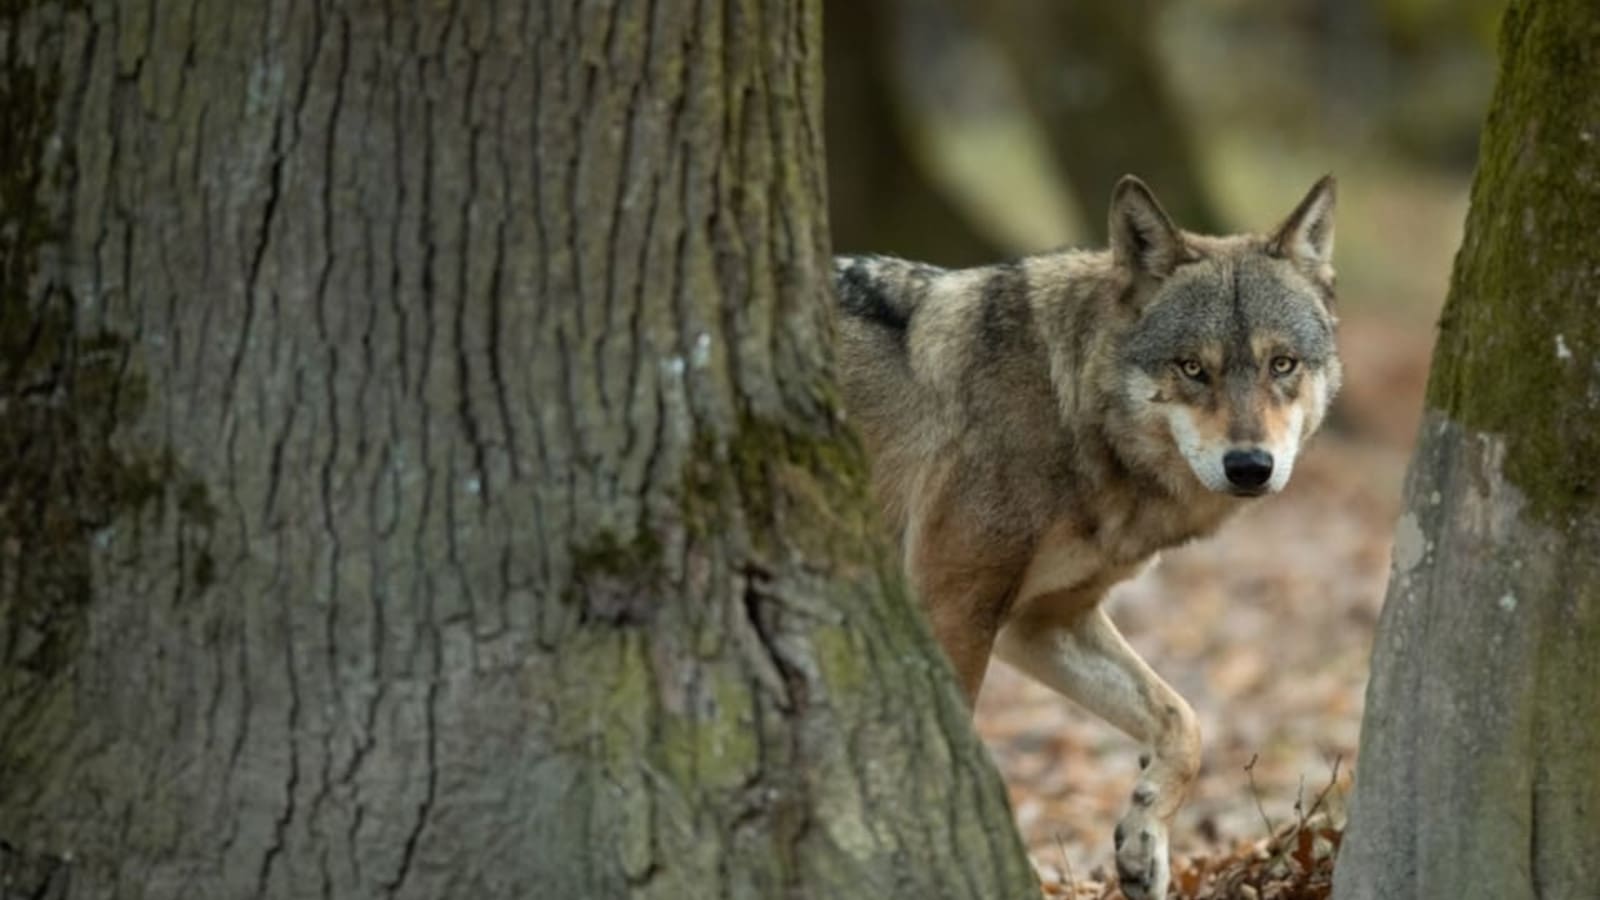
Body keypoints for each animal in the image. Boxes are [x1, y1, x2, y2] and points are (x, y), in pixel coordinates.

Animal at [832, 176, 1344, 896]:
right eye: (1193, 368)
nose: (1250, 466)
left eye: (1282, 364)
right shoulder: (951, 604)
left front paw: (1144, 844)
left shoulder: (1042, 623)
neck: (1067, 406)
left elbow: (1184, 722)